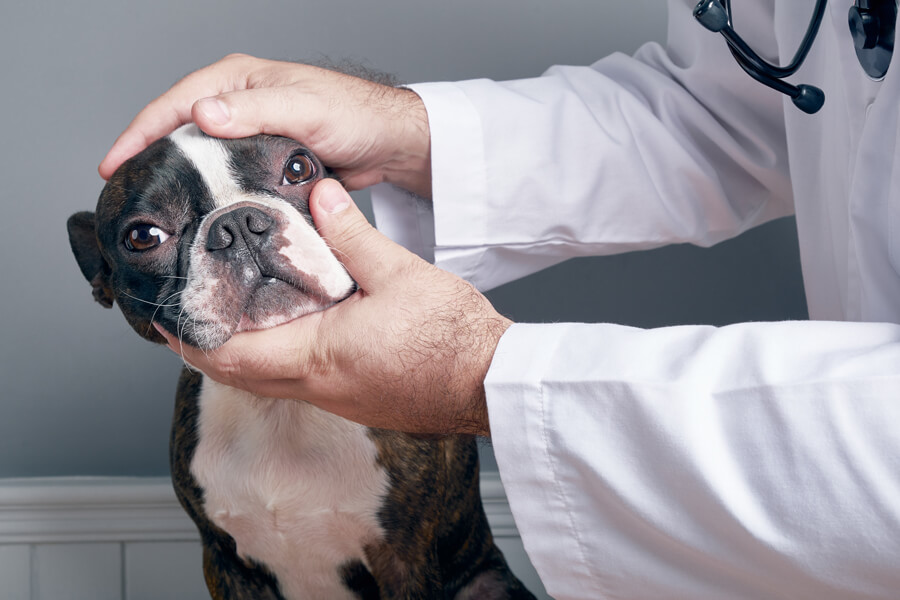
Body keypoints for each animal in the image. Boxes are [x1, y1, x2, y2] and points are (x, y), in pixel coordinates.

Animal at [68, 123, 536, 600]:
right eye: (144, 237)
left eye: (298, 168)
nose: (237, 223)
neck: (279, 407)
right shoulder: (224, 562)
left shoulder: (406, 562)